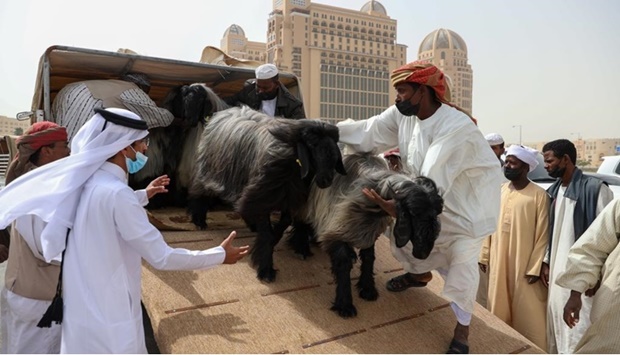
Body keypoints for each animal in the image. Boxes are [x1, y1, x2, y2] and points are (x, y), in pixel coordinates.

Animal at [186, 104, 346, 282]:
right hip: (209, 171)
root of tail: (224, 112)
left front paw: (275, 241)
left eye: (334, 142)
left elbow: (283, 223)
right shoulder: (262, 196)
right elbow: (267, 231)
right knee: (200, 192)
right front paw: (266, 268)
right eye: (312, 143)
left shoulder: (290, 196)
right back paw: (199, 220)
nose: (327, 179)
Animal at [288, 153, 444, 318]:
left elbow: (369, 257)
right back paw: (301, 247)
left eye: (437, 213)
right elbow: (343, 261)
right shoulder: (339, 227)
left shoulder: (367, 230)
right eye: (413, 213)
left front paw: (368, 288)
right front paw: (345, 304)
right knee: (300, 217)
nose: (423, 254)